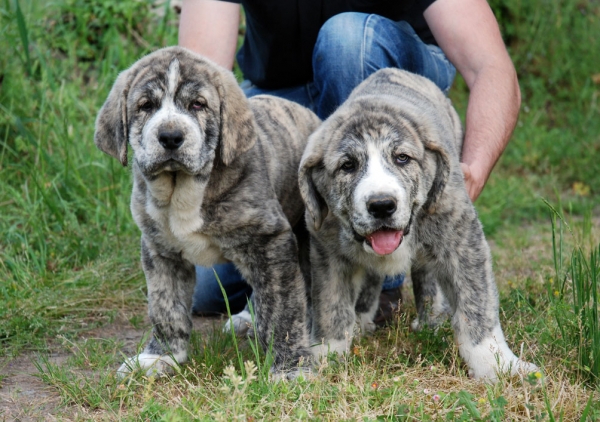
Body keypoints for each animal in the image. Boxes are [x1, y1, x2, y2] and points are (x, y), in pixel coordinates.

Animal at [300, 68, 540, 382]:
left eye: (402, 158)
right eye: (347, 165)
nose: (381, 205)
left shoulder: (462, 238)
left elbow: (477, 303)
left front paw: (496, 364)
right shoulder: (327, 252)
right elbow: (332, 307)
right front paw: (326, 357)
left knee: (427, 275)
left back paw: (430, 320)